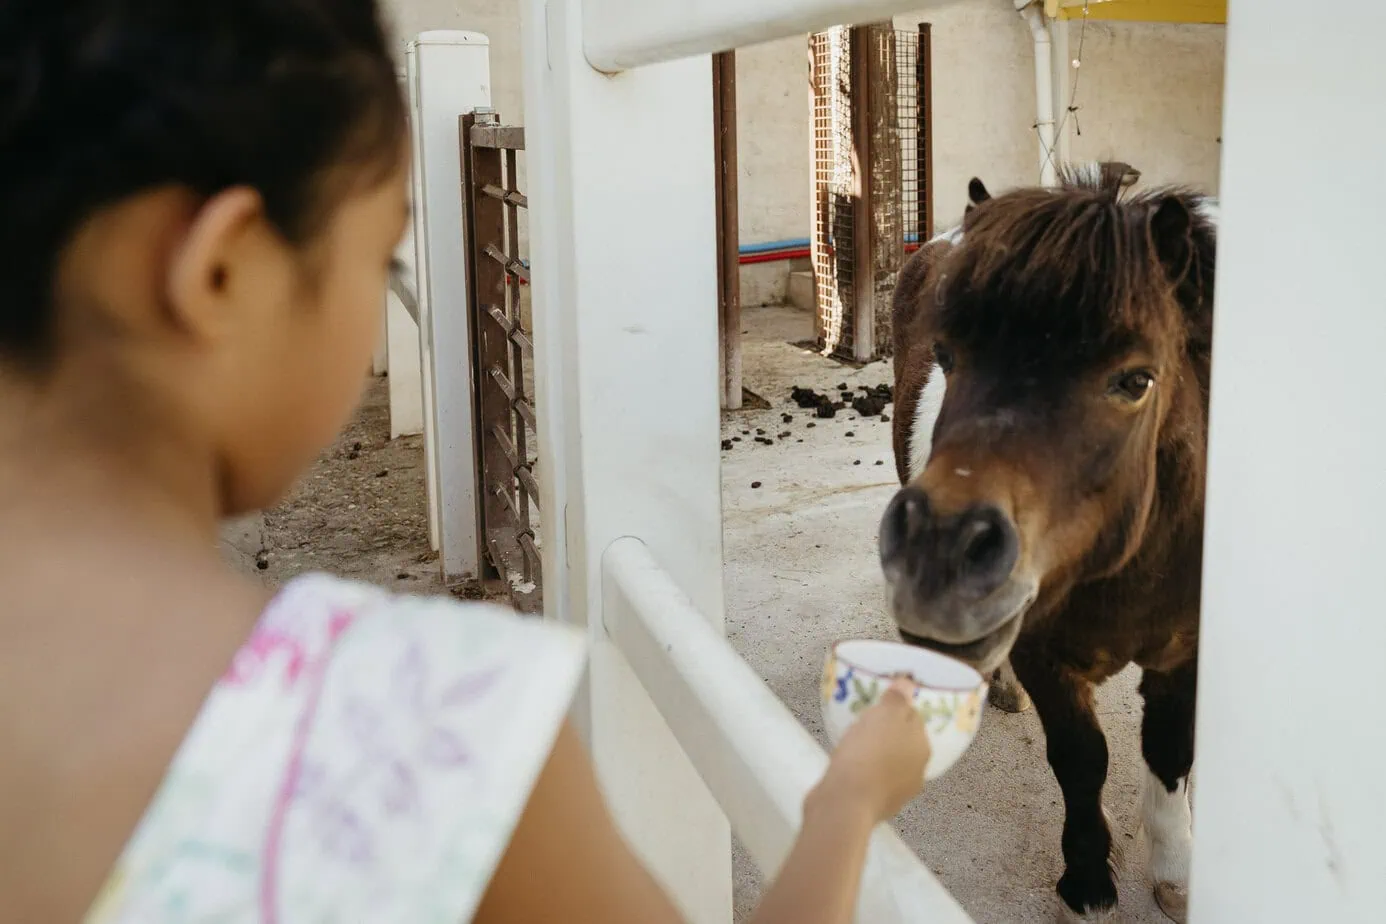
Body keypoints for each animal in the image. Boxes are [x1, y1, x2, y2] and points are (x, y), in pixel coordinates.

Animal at [884, 165, 1217, 922]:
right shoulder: (1043, 649)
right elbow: (1081, 759)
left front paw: (1178, 870)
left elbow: (1169, 750)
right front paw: (1089, 885)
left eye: (1137, 379)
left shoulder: (1186, 650)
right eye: (945, 355)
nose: (940, 564)